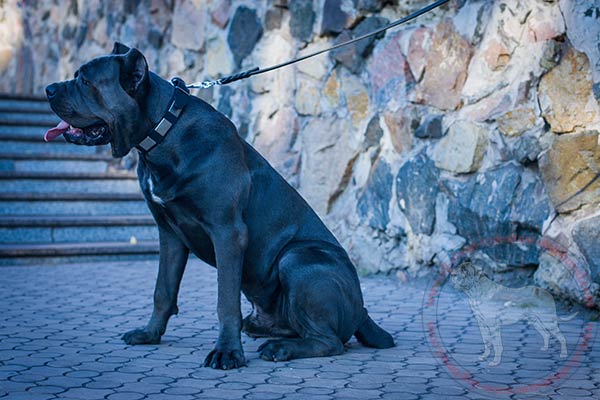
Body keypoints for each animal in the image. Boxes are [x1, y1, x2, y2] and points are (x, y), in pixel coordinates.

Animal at [47, 43, 394, 368]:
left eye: (85, 80)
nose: (49, 88)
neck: (164, 134)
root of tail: (362, 310)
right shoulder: (168, 233)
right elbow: (163, 290)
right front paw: (150, 334)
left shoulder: (227, 232)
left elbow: (225, 300)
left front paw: (227, 351)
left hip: (298, 258)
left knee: (330, 341)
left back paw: (280, 349)